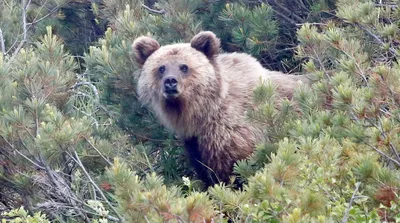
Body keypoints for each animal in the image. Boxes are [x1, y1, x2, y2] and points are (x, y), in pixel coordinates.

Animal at [132, 30, 310, 186]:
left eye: (184, 67)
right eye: (161, 68)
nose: (170, 82)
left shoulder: (233, 134)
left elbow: (235, 170)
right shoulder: (194, 143)